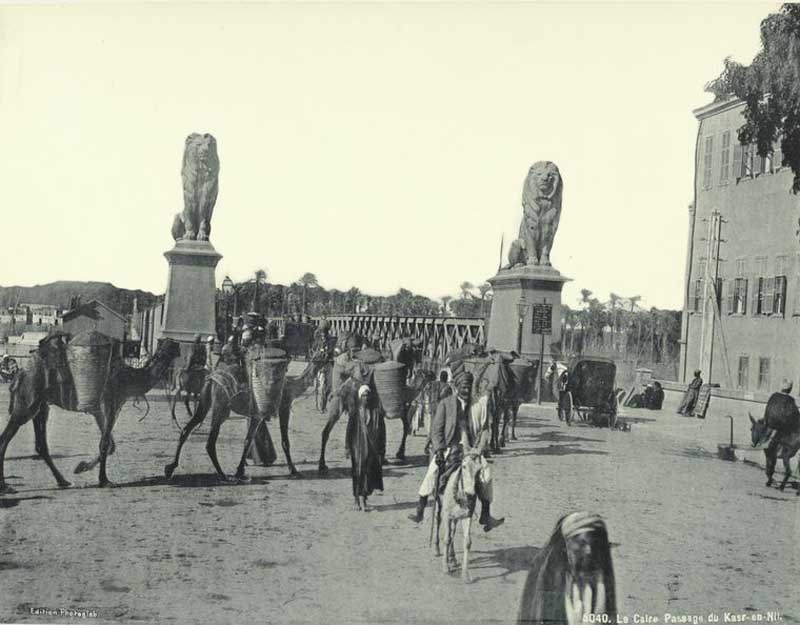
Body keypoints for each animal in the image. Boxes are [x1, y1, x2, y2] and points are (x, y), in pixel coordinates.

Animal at [1, 336, 180, 492]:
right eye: (173, 345)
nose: (179, 349)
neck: (128, 378)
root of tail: (20, 373)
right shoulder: (109, 405)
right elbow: (105, 444)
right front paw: (104, 481)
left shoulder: (102, 411)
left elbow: (110, 445)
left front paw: (81, 467)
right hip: (26, 403)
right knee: (6, 438)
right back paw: (6, 487)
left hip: (41, 406)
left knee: (41, 445)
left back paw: (63, 481)